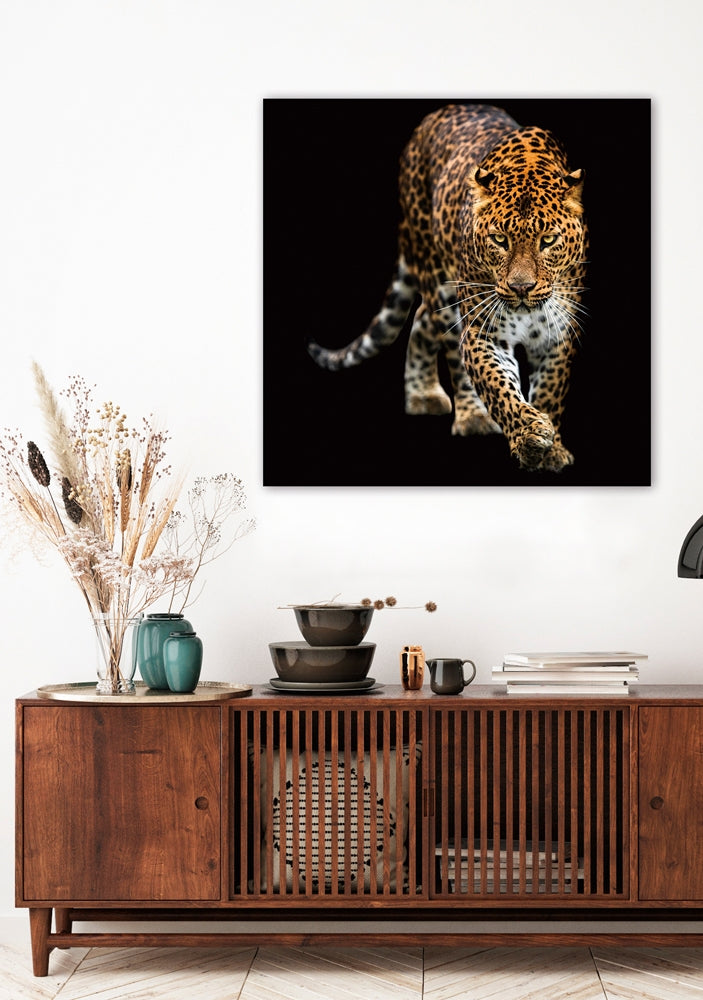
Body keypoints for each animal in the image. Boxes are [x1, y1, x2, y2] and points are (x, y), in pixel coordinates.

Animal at [307, 103, 588, 473]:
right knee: (450, 346)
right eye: (500, 240)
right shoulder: (483, 332)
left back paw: (422, 394)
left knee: (422, 318)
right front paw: (529, 435)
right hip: (442, 282)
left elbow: (550, 391)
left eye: (549, 240)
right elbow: (498, 386)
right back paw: (471, 416)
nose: (522, 288)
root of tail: (440, 112)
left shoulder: (558, 334)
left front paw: (551, 449)